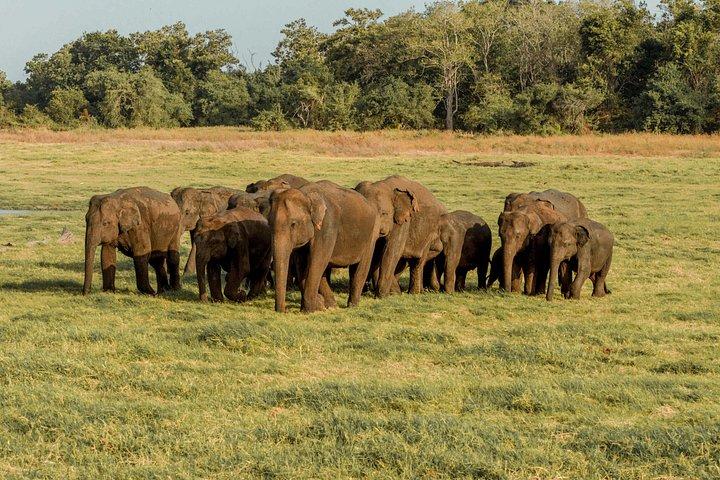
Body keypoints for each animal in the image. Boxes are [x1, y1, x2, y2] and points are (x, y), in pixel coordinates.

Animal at [269, 180, 379, 313]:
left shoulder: (327, 225)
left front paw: (308, 311)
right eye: (269, 223)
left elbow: (317, 261)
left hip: (371, 235)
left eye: (293, 224)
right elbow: (303, 264)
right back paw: (333, 305)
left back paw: (352, 306)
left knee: (360, 268)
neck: (306, 194)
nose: (284, 311)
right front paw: (318, 306)